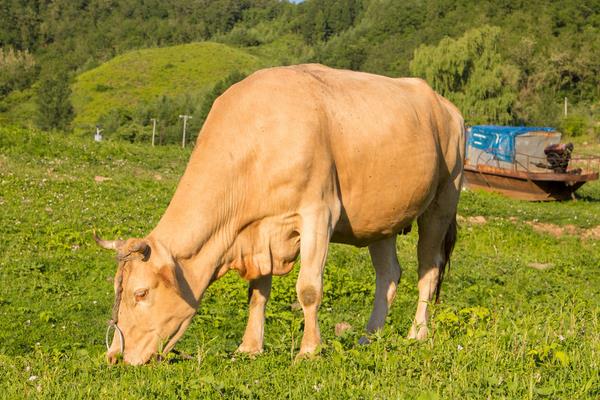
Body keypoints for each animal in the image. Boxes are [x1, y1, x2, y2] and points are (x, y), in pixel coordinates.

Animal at [96, 63, 466, 366]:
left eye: (140, 293)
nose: (115, 355)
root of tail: (445, 105)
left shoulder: (318, 213)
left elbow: (309, 289)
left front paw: (309, 350)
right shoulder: (260, 231)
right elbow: (257, 293)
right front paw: (249, 347)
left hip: (442, 201)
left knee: (428, 271)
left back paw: (416, 334)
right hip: (382, 218)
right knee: (388, 275)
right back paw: (367, 338)